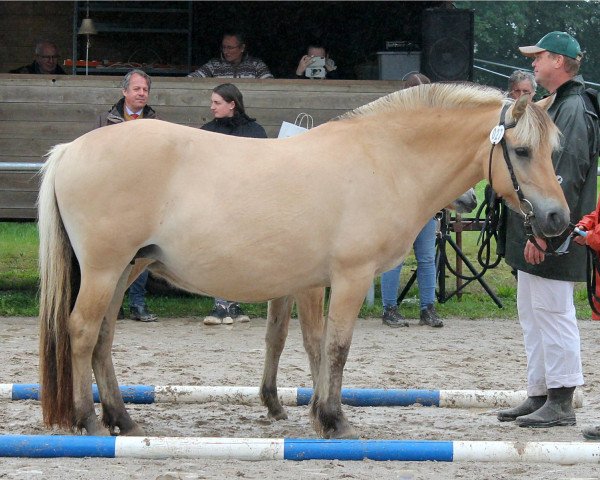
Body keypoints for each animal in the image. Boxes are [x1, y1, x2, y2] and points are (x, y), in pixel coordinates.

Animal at [39, 83, 568, 438]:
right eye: (522, 151)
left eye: (553, 149)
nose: (558, 217)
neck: (382, 160)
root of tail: (71, 150)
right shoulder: (348, 278)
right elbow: (335, 346)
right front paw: (334, 420)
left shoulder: (309, 283)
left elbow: (306, 344)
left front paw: (311, 412)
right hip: (105, 270)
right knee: (82, 332)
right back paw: (88, 420)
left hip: (124, 271)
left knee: (103, 338)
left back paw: (122, 419)